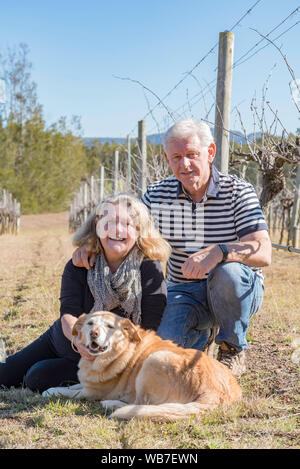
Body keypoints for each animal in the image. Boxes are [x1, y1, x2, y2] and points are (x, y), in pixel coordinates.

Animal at [42, 310, 241, 420]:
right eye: (90, 323)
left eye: (110, 326)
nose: (94, 333)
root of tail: (216, 391)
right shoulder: (87, 383)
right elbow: (72, 385)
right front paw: (51, 389)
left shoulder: (92, 392)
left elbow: (70, 392)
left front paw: (50, 392)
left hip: (153, 361)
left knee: (139, 405)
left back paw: (111, 404)